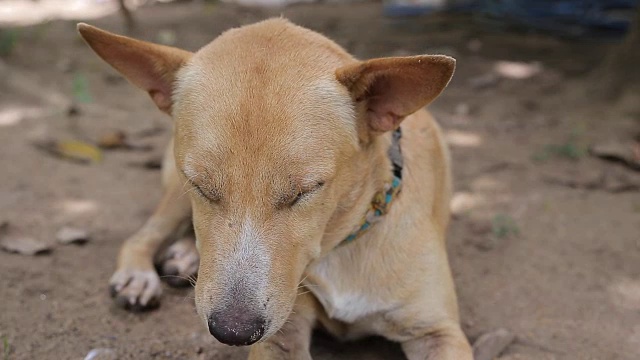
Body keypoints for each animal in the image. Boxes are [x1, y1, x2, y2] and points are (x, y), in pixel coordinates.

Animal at [77, 19, 472, 360]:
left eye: (305, 191)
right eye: (201, 186)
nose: (233, 331)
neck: (342, 243)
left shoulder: (438, 332)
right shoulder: (283, 332)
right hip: (174, 193)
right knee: (143, 235)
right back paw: (139, 277)